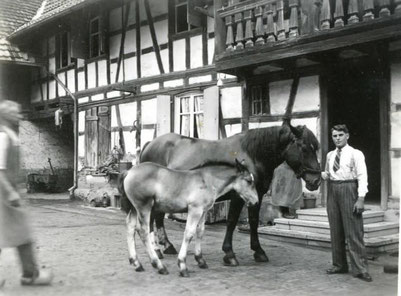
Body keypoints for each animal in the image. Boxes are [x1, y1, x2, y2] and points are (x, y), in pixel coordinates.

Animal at [119, 160, 258, 278]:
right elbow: (189, 233)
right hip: (144, 207)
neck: (207, 180)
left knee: (130, 228)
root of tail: (129, 172)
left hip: (134, 208)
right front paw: (182, 266)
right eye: (249, 180)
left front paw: (200, 260)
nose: (256, 202)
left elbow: (200, 232)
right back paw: (159, 266)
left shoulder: (203, 211)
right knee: (143, 231)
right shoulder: (195, 210)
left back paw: (137, 263)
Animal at [139, 121, 320, 264]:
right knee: (152, 218)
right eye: (304, 148)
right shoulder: (238, 196)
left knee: (158, 217)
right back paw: (157, 250)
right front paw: (229, 253)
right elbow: (232, 221)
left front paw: (258, 251)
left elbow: (254, 221)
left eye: (315, 147)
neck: (252, 155)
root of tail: (149, 144)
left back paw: (167, 246)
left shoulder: (257, 195)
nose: (316, 180)